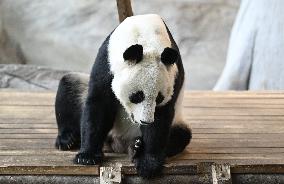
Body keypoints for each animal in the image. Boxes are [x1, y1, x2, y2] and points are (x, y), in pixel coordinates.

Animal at [54, 14, 192, 178]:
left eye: (159, 98)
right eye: (137, 96)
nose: (145, 121)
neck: (145, 34)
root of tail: (119, 143)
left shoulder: (174, 75)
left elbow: (161, 116)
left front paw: (148, 163)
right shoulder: (106, 59)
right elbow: (99, 102)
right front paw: (87, 156)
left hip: (178, 121)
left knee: (181, 136)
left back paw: (136, 147)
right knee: (69, 86)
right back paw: (67, 139)